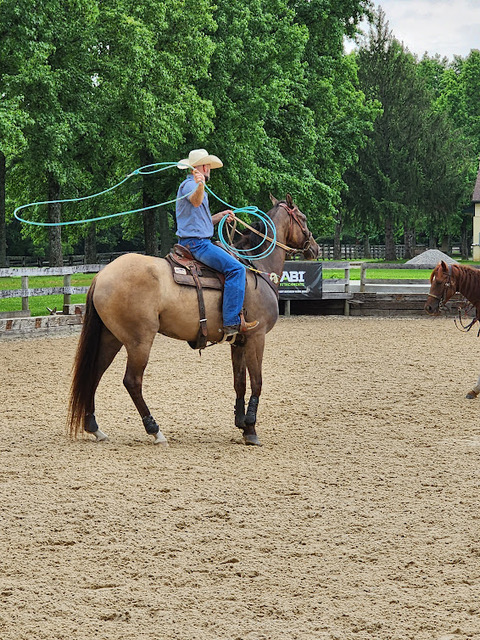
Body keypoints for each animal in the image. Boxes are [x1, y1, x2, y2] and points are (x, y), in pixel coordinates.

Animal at [68, 193, 319, 446]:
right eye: (303, 218)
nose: (315, 248)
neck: (255, 267)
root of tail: (102, 275)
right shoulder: (256, 337)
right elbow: (257, 382)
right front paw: (251, 428)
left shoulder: (239, 341)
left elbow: (239, 382)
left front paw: (241, 423)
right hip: (139, 340)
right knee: (132, 381)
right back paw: (155, 430)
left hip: (111, 337)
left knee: (95, 373)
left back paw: (94, 427)